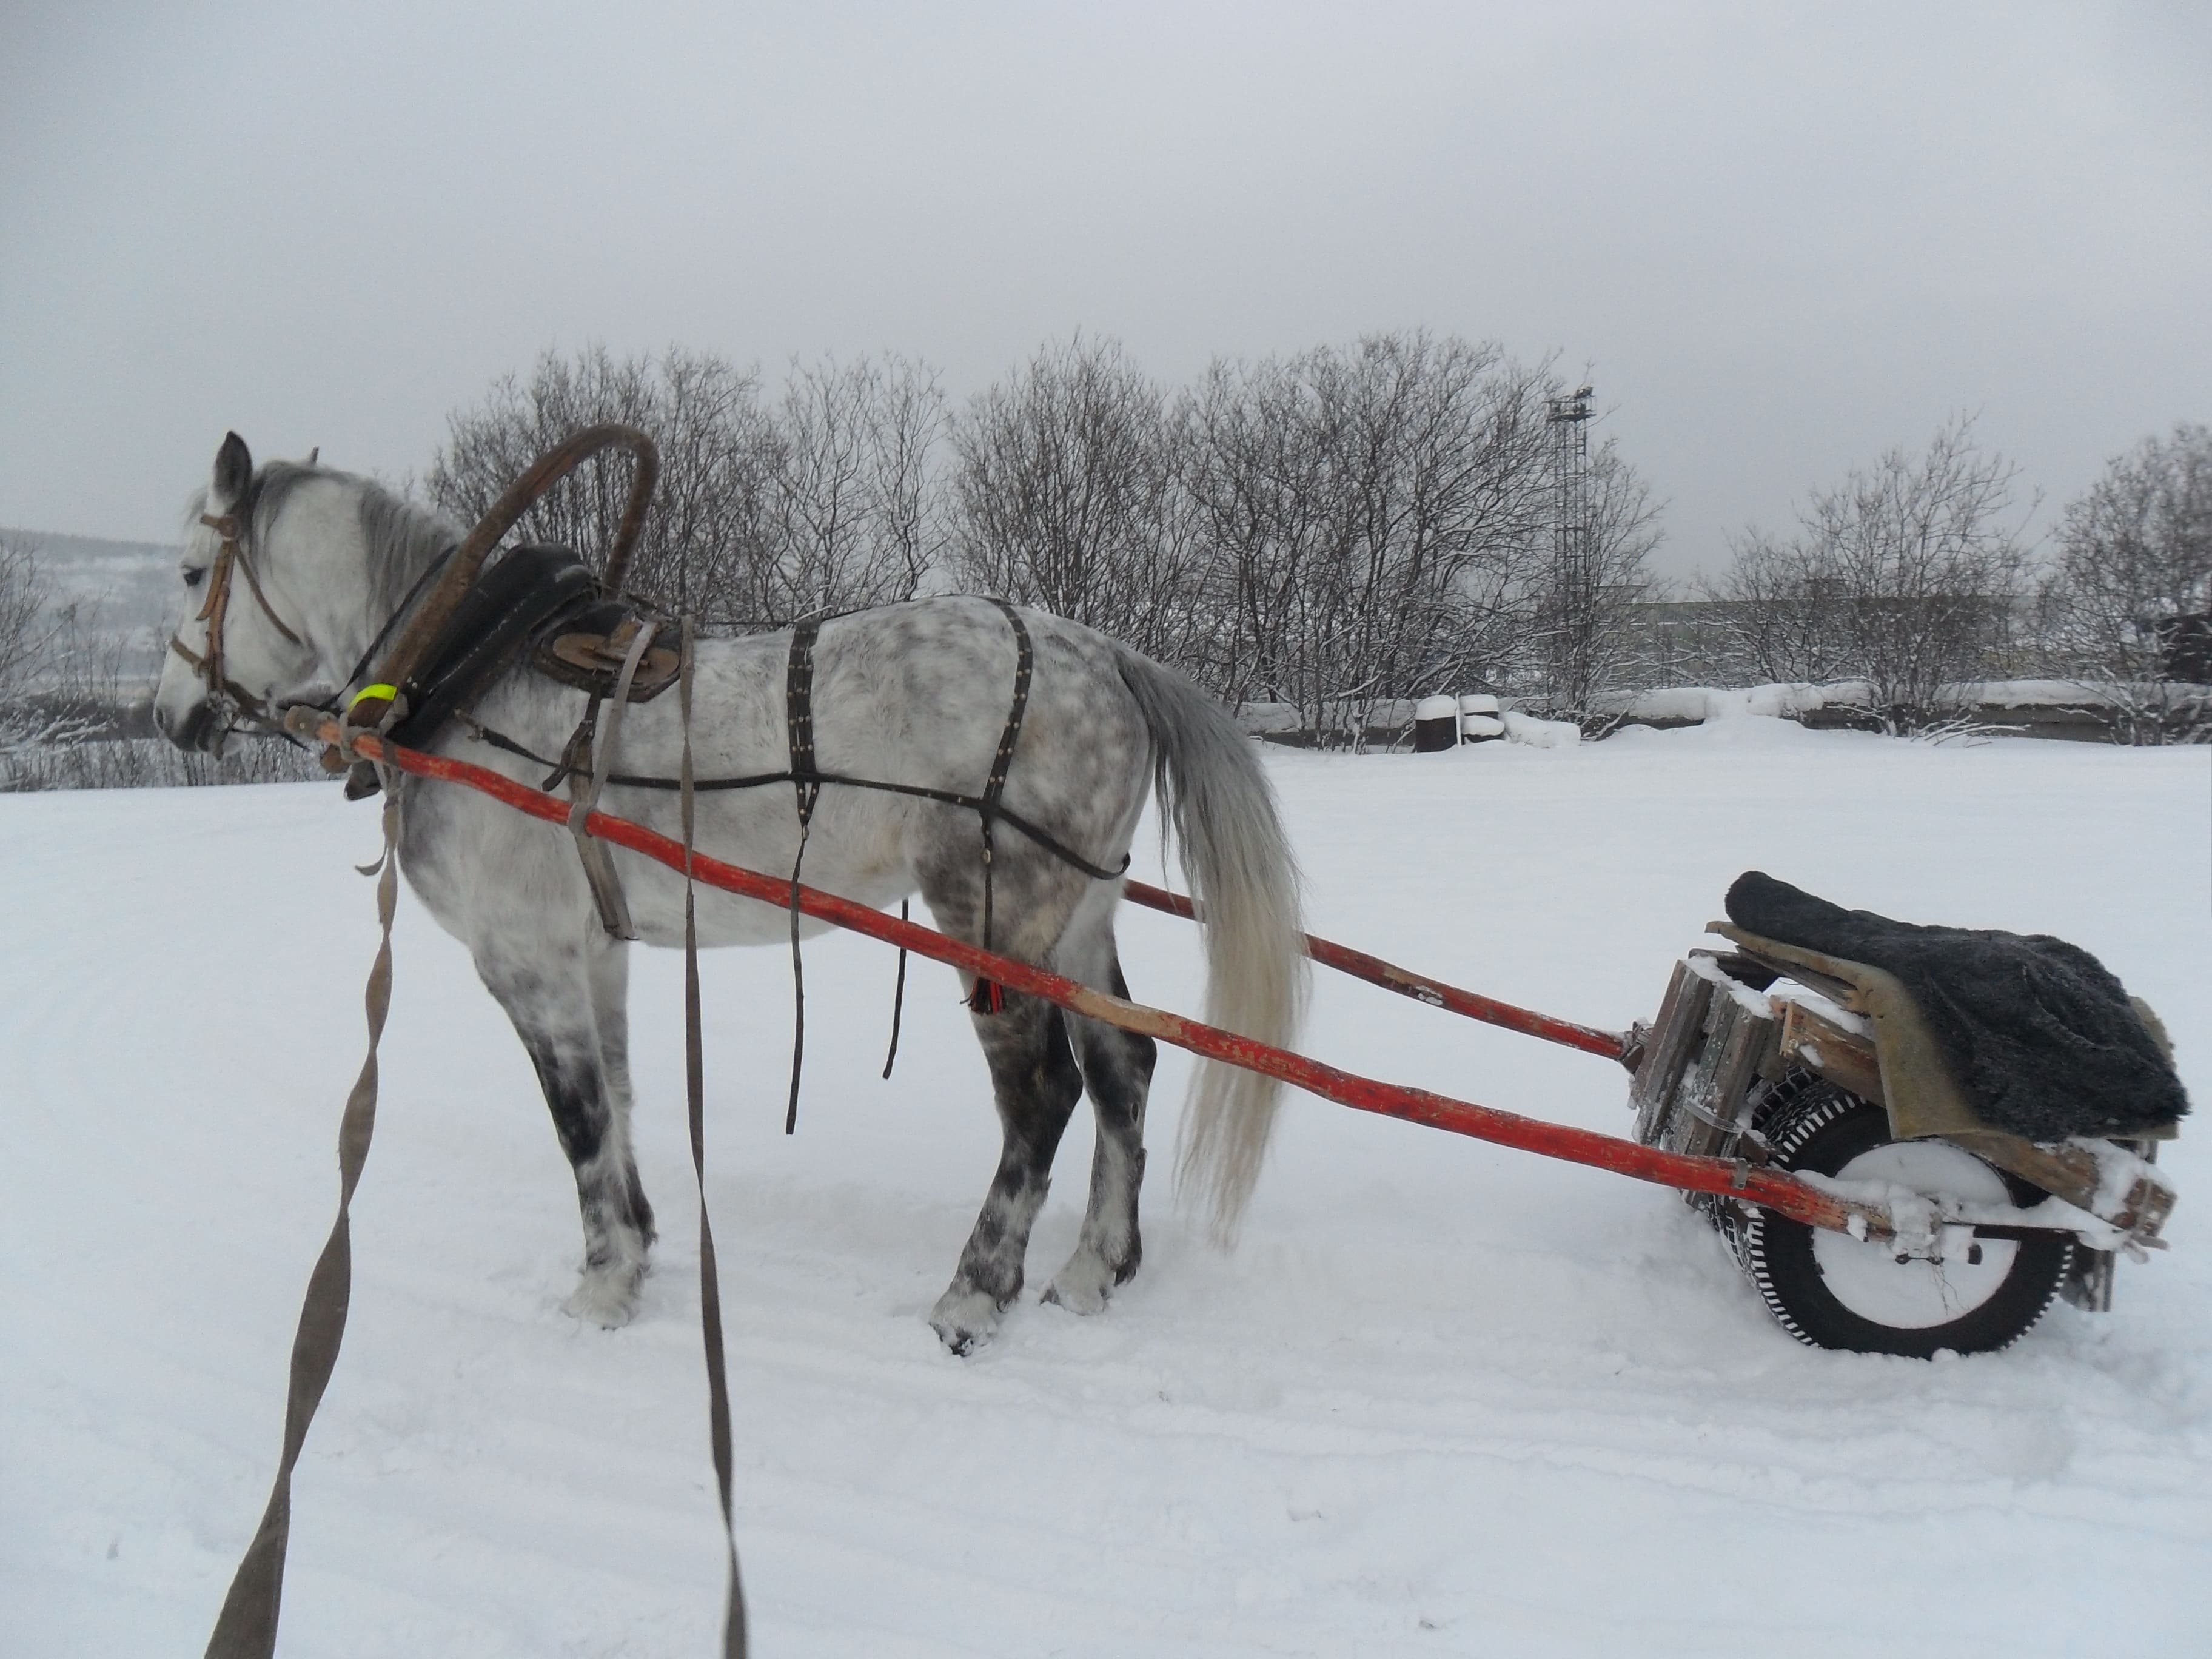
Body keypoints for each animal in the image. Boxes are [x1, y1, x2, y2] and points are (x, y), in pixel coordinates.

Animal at [156, 435, 1301, 1353]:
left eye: (189, 571)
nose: (170, 715)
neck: (465, 680)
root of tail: (1107, 657)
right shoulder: (595, 950)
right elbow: (619, 1097)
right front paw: (638, 1250)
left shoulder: (525, 959)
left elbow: (577, 1117)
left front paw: (600, 1290)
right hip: (1076, 920)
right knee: (1124, 1071)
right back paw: (1094, 1268)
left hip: (993, 916)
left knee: (1042, 1097)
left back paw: (975, 1296)